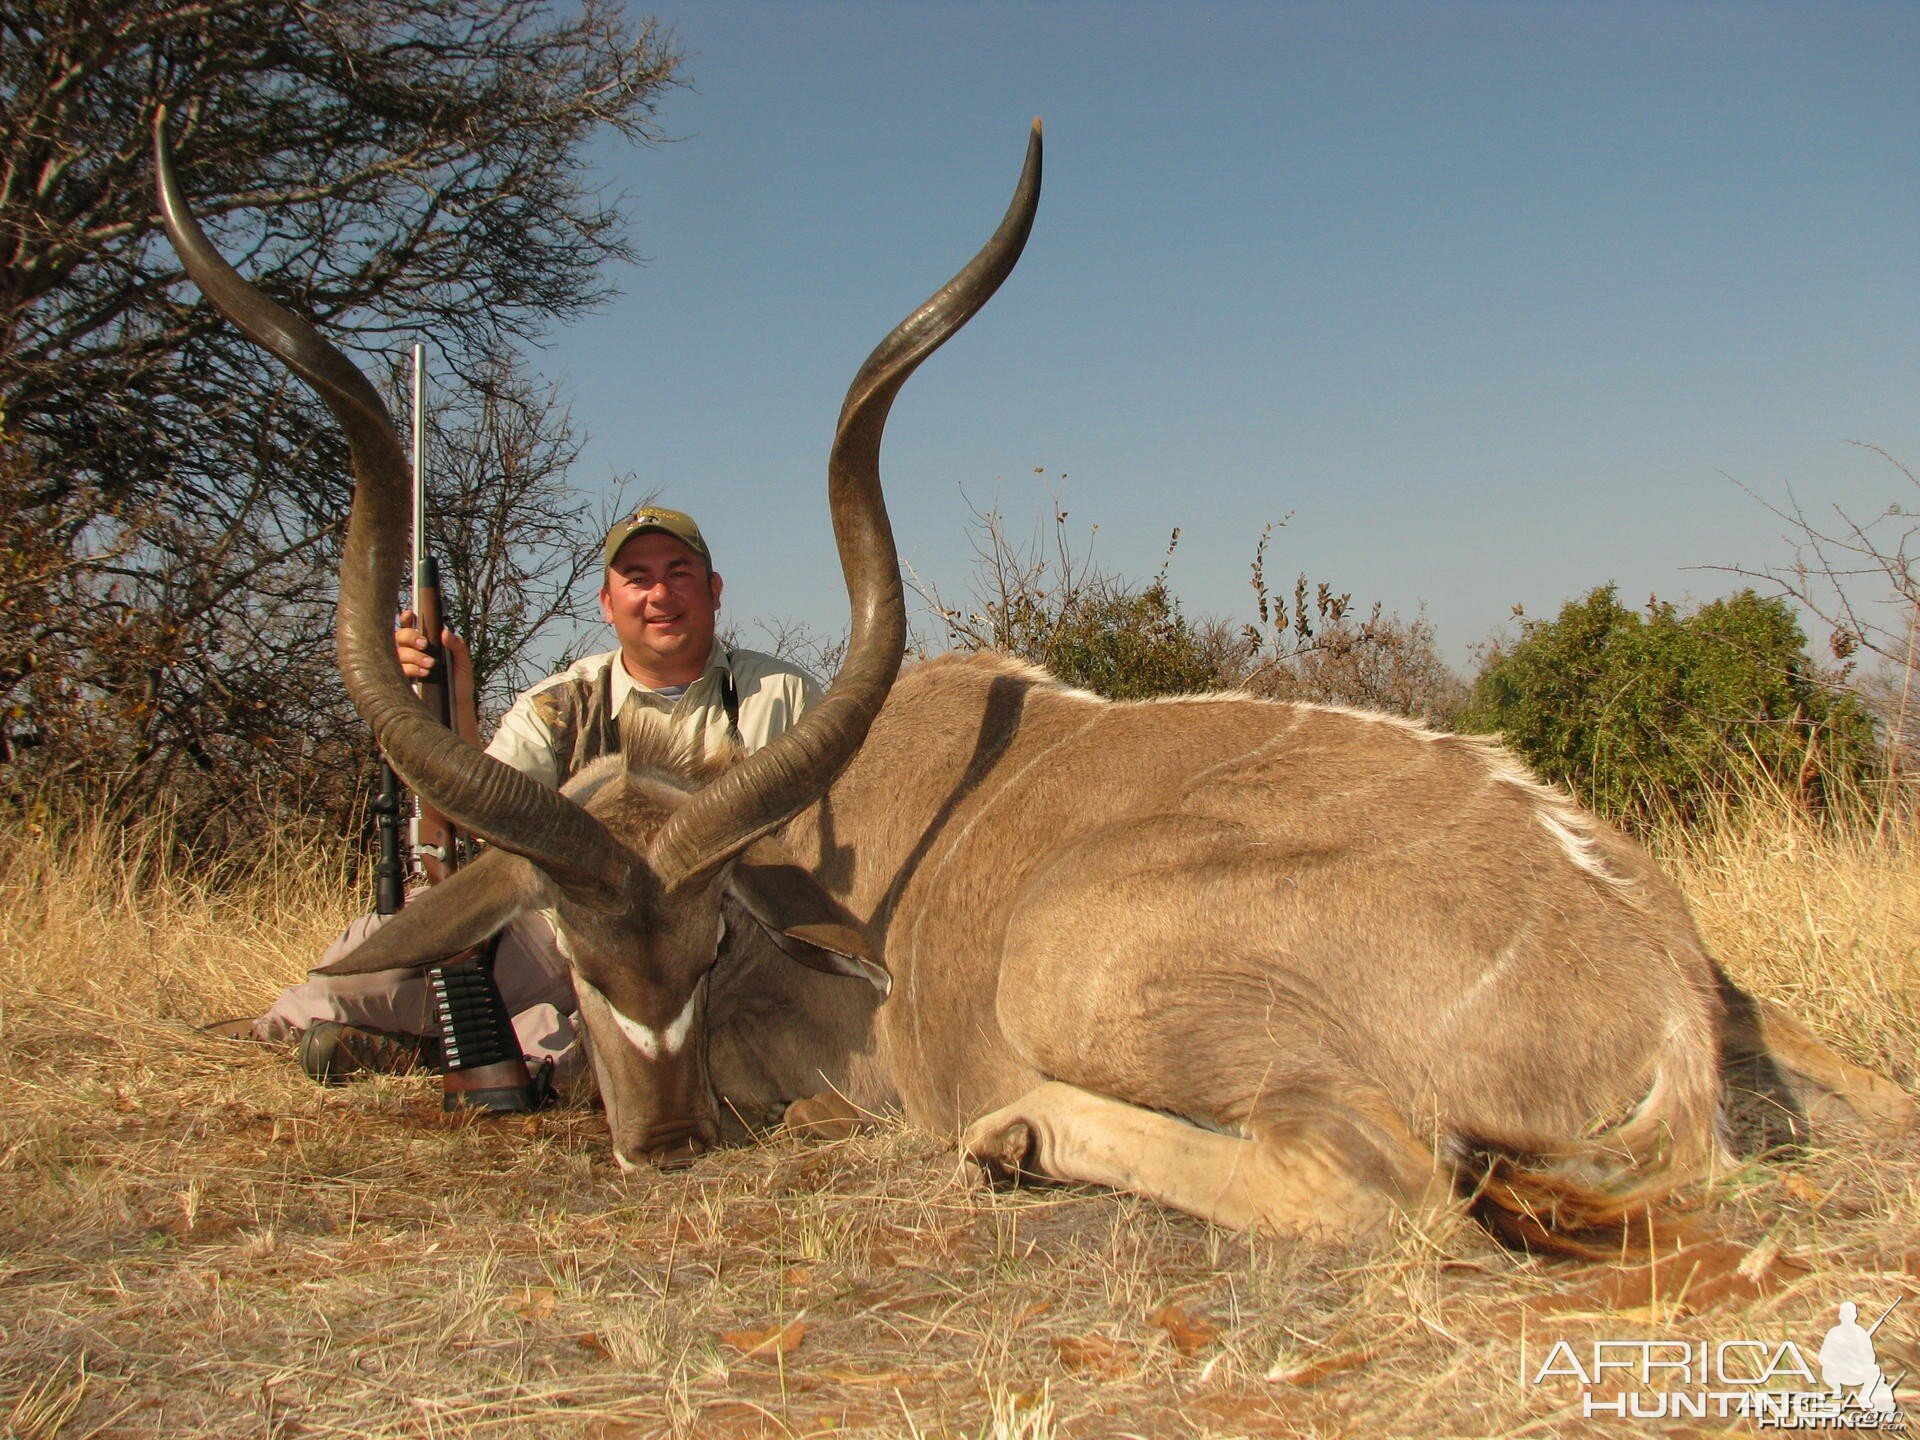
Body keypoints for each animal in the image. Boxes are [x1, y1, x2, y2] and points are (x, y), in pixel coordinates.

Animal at [161, 121, 1904, 1251]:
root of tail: (1654, 995)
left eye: (706, 941)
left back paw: (1018, 1138)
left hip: (1084, 967)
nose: (659, 1144)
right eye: (569, 945)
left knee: (1387, 1187)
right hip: (1771, 1029)